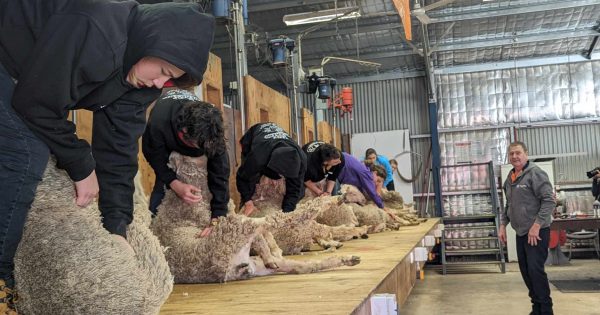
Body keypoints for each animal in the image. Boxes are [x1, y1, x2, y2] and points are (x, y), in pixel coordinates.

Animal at [150, 154, 360, 286]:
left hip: (254, 258)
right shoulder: (233, 219)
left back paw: (347, 258)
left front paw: (270, 252)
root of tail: (230, 270)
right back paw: (338, 205)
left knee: (305, 266)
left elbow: (262, 237)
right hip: (234, 229)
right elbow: (269, 224)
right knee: (282, 218)